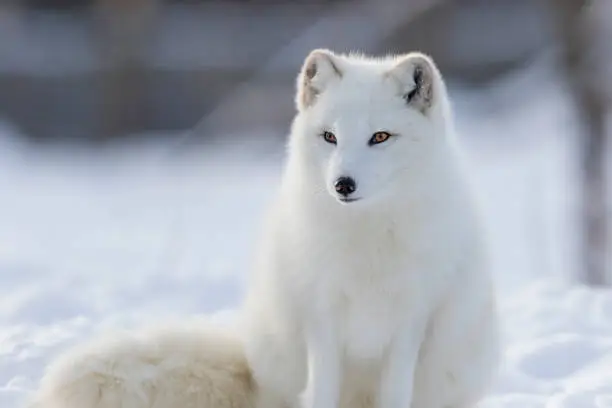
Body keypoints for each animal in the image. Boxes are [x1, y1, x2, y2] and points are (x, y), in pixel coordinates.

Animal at [241, 48, 500, 408]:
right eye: (330, 137)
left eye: (380, 137)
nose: (343, 184)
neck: (368, 242)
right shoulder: (320, 320)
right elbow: (321, 394)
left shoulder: (409, 322)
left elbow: (395, 395)